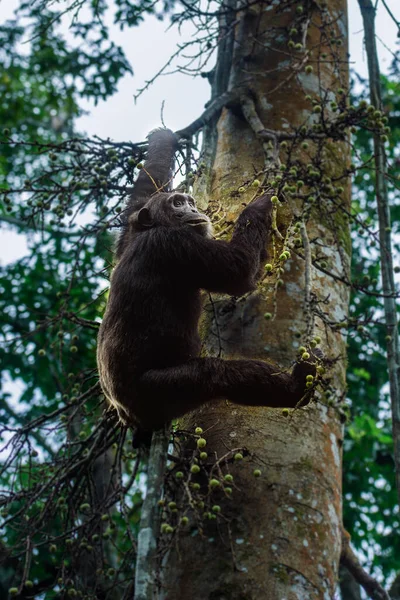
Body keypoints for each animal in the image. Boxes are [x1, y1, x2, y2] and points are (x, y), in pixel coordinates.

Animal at [97, 127, 318, 432]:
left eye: (188, 201)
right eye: (178, 203)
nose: (193, 208)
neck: (153, 229)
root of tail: (126, 412)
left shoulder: (131, 228)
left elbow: (145, 187)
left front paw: (163, 138)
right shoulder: (176, 245)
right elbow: (239, 272)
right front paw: (265, 198)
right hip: (158, 391)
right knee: (215, 374)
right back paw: (295, 387)